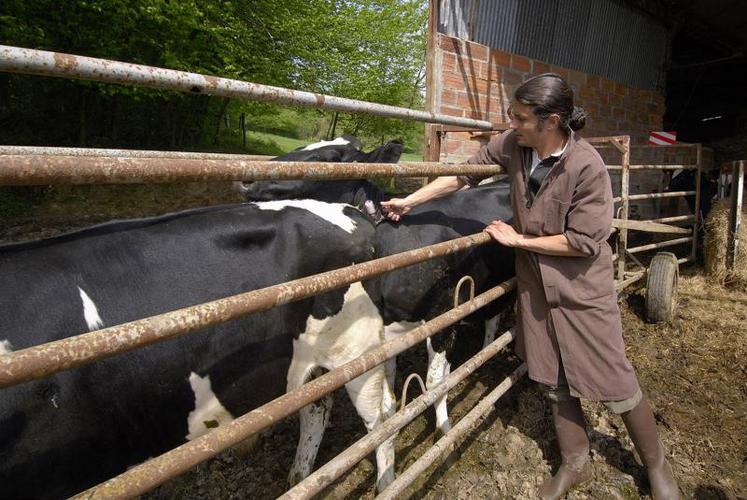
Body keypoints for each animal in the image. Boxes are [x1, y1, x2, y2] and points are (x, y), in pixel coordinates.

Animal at [0, 201, 398, 498]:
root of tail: (353, 211)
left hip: (358, 349)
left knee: (382, 415)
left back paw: (386, 484)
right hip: (309, 361)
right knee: (316, 406)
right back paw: (299, 478)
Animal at [243, 140, 516, 434]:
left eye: (327, 159)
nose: (248, 178)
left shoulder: (445, 313)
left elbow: (436, 383)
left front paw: (445, 430)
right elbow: (389, 391)